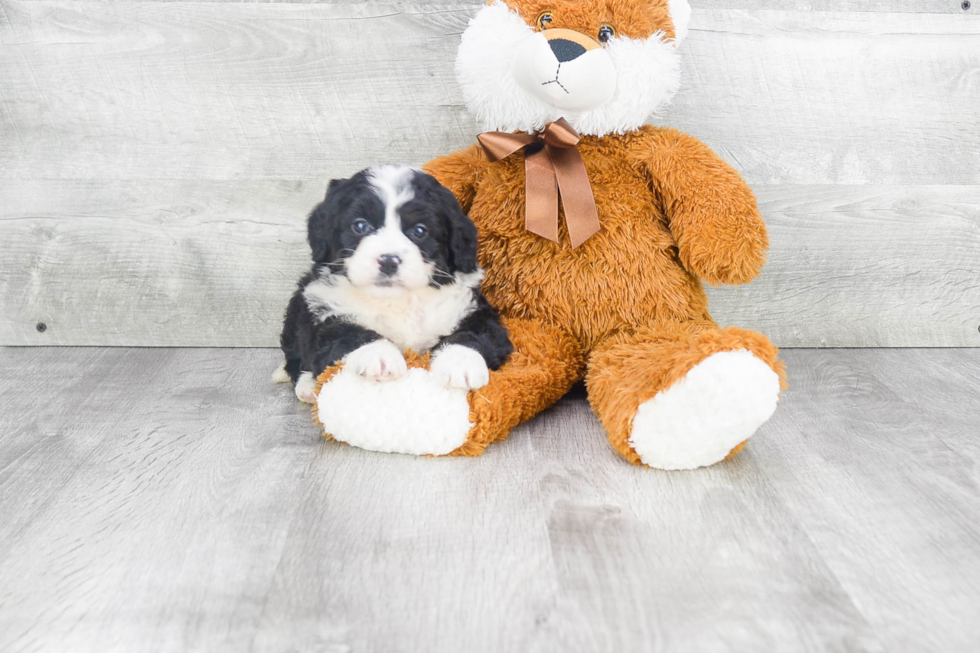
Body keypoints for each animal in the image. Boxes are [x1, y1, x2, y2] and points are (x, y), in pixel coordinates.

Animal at [270, 166, 512, 402]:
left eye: (419, 231)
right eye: (360, 226)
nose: (388, 261)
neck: (398, 301)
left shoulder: (471, 308)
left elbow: (475, 332)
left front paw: (460, 362)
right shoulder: (324, 305)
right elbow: (345, 332)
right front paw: (378, 354)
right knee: (296, 358)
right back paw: (308, 386)